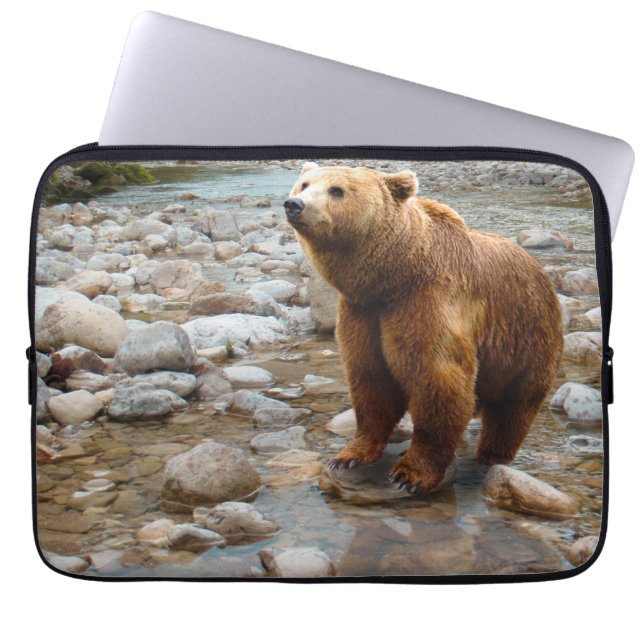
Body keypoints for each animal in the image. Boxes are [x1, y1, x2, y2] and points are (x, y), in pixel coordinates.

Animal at [283, 162, 564, 495]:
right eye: (304, 184)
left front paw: (410, 474)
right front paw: (348, 456)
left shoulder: (427, 302)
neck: (393, 277)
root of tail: (540, 270)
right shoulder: (363, 313)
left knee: (512, 406)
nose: (294, 204)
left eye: (336, 190)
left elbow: (438, 379)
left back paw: (492, 454)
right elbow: (370, 380)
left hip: (525, 335)